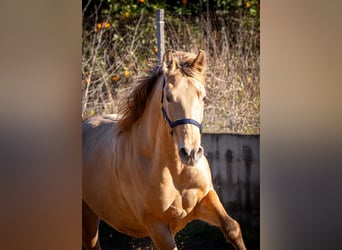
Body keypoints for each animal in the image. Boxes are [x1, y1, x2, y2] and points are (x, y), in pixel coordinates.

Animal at [82, 49, 246, 249]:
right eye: (168, 97)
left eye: (203, 97)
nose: (191, 153)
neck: (175, 170)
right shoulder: (157, 226)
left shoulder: (205, 198)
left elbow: (232, 228)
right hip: (87, 216)